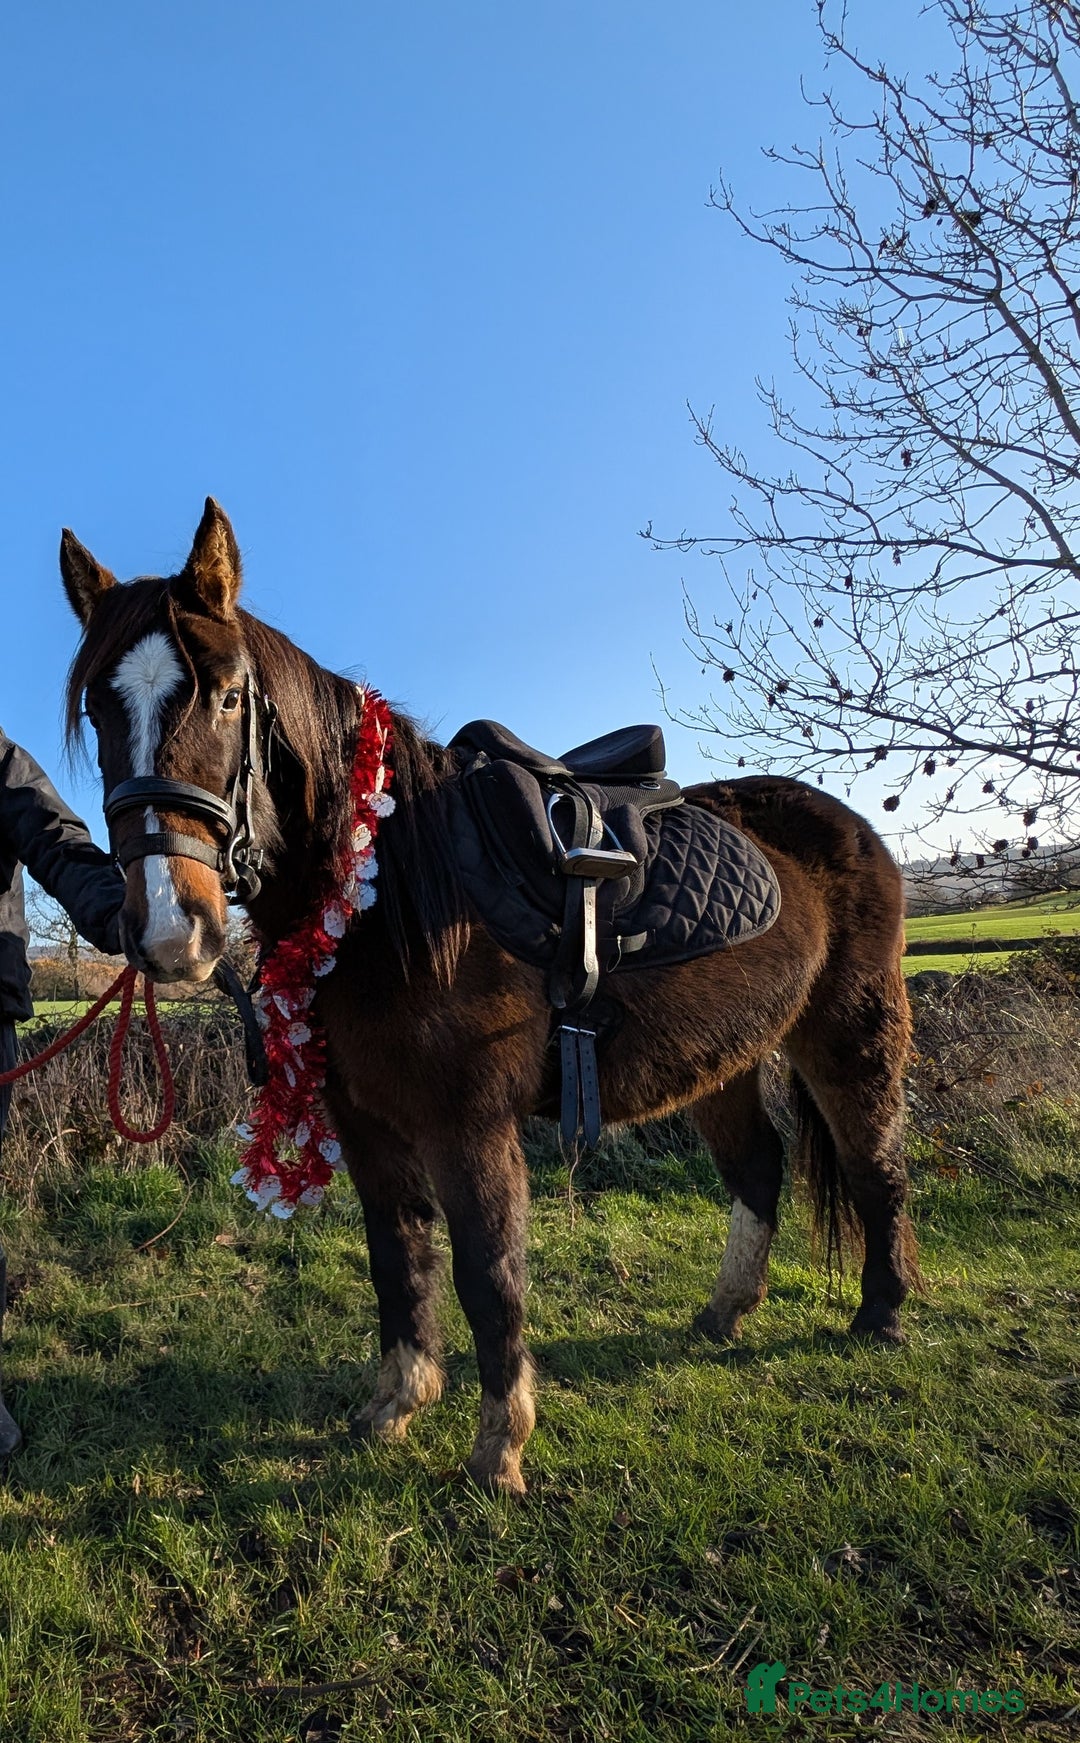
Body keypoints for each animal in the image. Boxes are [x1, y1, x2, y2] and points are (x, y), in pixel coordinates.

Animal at [60, 498, 918, 1497]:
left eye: (230, 696)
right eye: (99, 708)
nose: (169, 927)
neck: (392, 889)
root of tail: (851, 826)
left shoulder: (468, 1122)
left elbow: (487, 1270)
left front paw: (499, 1445)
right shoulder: (367, 1118)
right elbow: (398, 1256)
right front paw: (397, 1402)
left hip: (850, 1029)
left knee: (872, 1163)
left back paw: (882, 1314)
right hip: (725, 1058)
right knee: (759, 1168)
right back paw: (725, 1311)